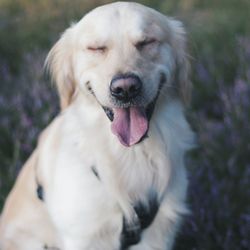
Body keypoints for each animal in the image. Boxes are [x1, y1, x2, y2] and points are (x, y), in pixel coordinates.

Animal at [0, 1, 194, 250]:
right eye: (96, 48)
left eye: (146, 42)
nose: (125, 89)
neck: (130, 154)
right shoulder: (82, 235)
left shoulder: (158, 234)